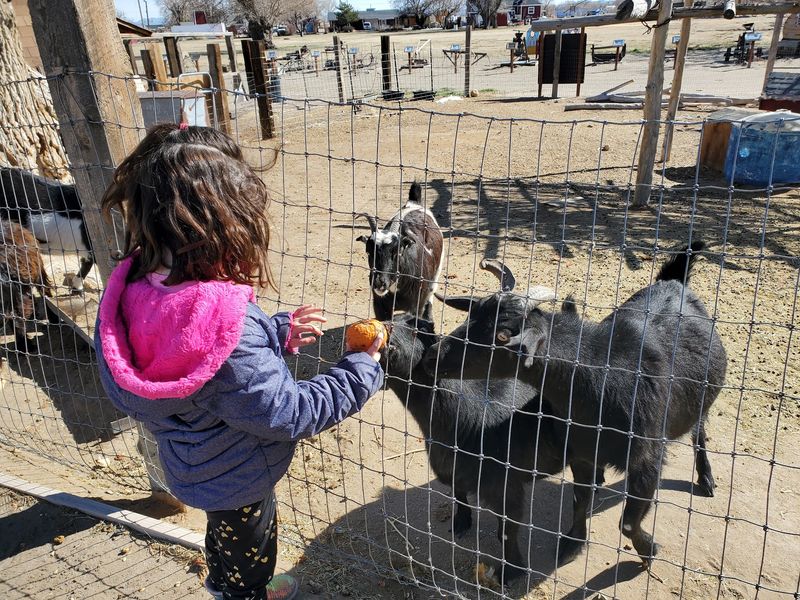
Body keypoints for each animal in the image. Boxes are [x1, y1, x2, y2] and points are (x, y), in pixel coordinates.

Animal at [357, 182, 443, 322]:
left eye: (396, 253)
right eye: (369, 253)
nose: (379, 283)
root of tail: (415, 202)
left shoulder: (416, 306)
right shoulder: (380, 307)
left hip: (436, 273)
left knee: (431, 294)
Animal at [382, 312, 589, 585]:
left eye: (417, 328)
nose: (386, 330)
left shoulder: (505, 487)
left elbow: (508, 530)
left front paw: (511, 572)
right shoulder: (454, 470)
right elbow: (459, 495)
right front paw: (461, 523)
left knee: (584, 494)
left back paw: (571, 545)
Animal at [424, 244, 727, 567]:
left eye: (503, 336)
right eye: (472, 316)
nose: (433, 355)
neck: (601, 382)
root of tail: (673, 280)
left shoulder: (647, 460)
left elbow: (628, 522)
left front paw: (649, 550)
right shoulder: (579, 451)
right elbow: (580, 500)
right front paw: (572, 542)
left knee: (699, 431)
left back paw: (707, 479)